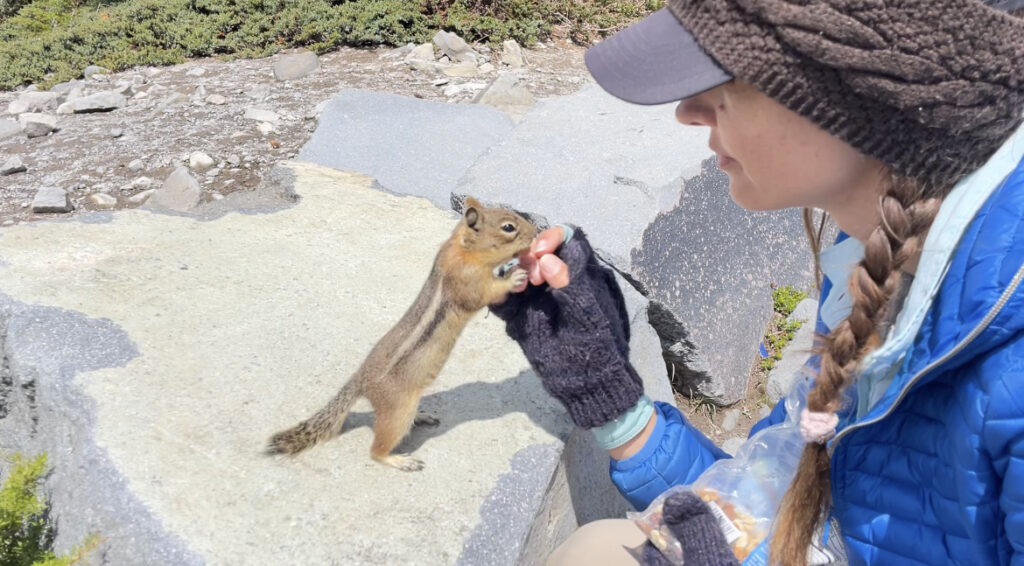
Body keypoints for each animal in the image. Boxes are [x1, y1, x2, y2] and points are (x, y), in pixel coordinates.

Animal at [266, 196, 536, 470]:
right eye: (509, 227)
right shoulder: (468, 280)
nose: (536, 233)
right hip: (397, 413)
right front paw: (514, 277)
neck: (462, 248)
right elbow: (485, 294)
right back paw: (398, 460)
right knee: (376, 449)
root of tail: (361, 380)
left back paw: (422, 416)